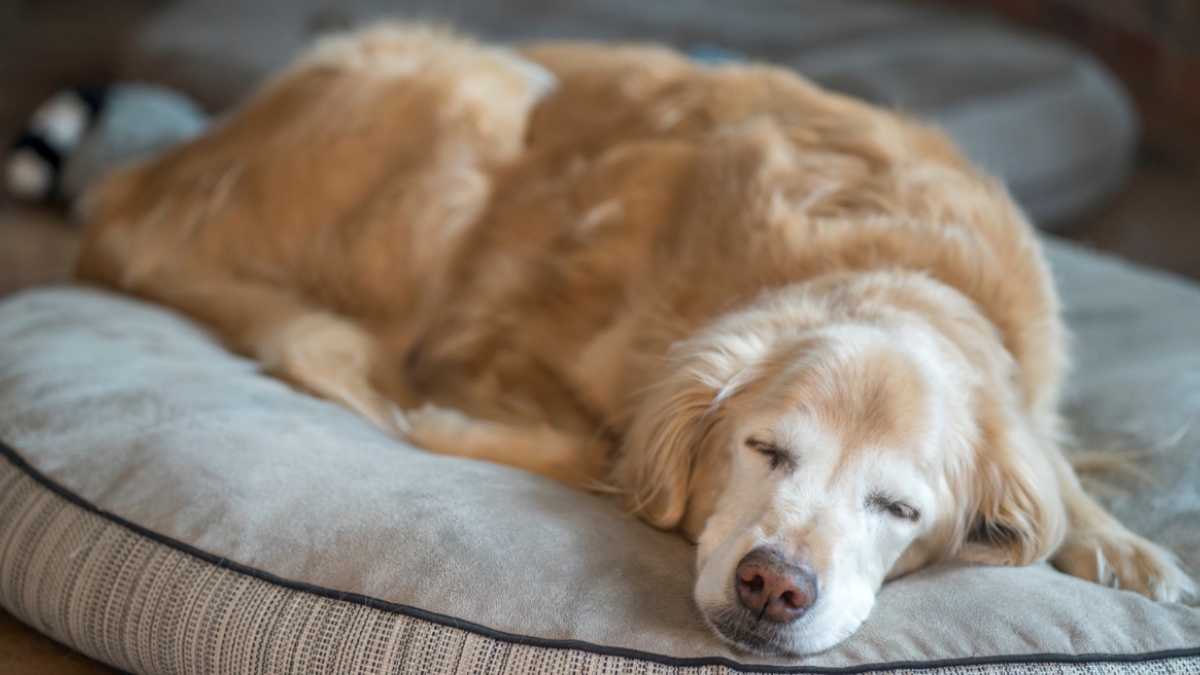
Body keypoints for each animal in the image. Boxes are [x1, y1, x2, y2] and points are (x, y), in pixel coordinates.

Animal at [75, 24, 1190, 653]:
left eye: (900, 507)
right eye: (763, 448)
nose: (774, 586)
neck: (900, 266)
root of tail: (141, 181)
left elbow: (1060, 479)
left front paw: (1128, 551)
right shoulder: (512, 342)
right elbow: (589, 441)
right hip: (487, 93)